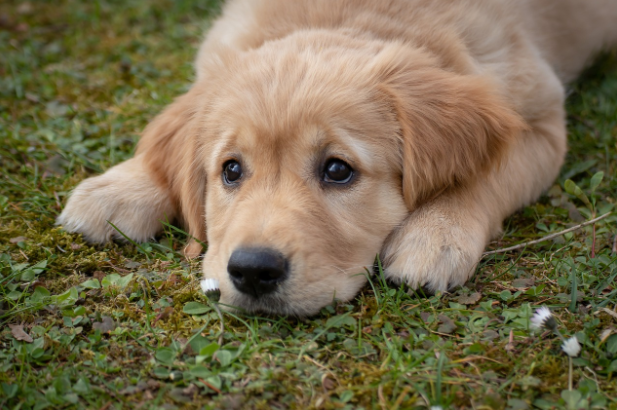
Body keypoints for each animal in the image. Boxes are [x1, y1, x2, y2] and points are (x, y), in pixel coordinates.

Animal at [56, 0, 616, 316]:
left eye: (338, 171)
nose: (252, 271)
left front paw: (436, 233)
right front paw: (121, 187)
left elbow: (487, 174)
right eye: (230, 170)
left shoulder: (540, 120)